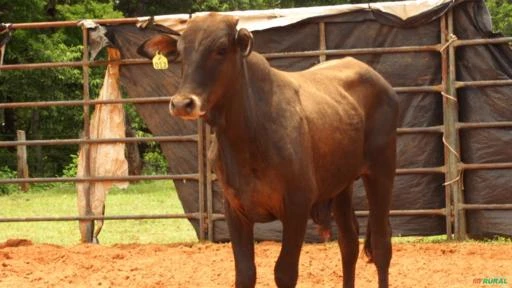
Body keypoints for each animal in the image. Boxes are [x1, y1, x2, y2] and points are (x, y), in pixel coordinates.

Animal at [138, 12, 398, 288]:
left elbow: (284, 272)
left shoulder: (297, 205)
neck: (246, 137)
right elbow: (245, 273)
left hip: (382, 170)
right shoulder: (235, 210)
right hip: (341, 184)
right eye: (180, 52)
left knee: (381, 244)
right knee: (348, 242)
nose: (182, 103)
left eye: (221, 49)